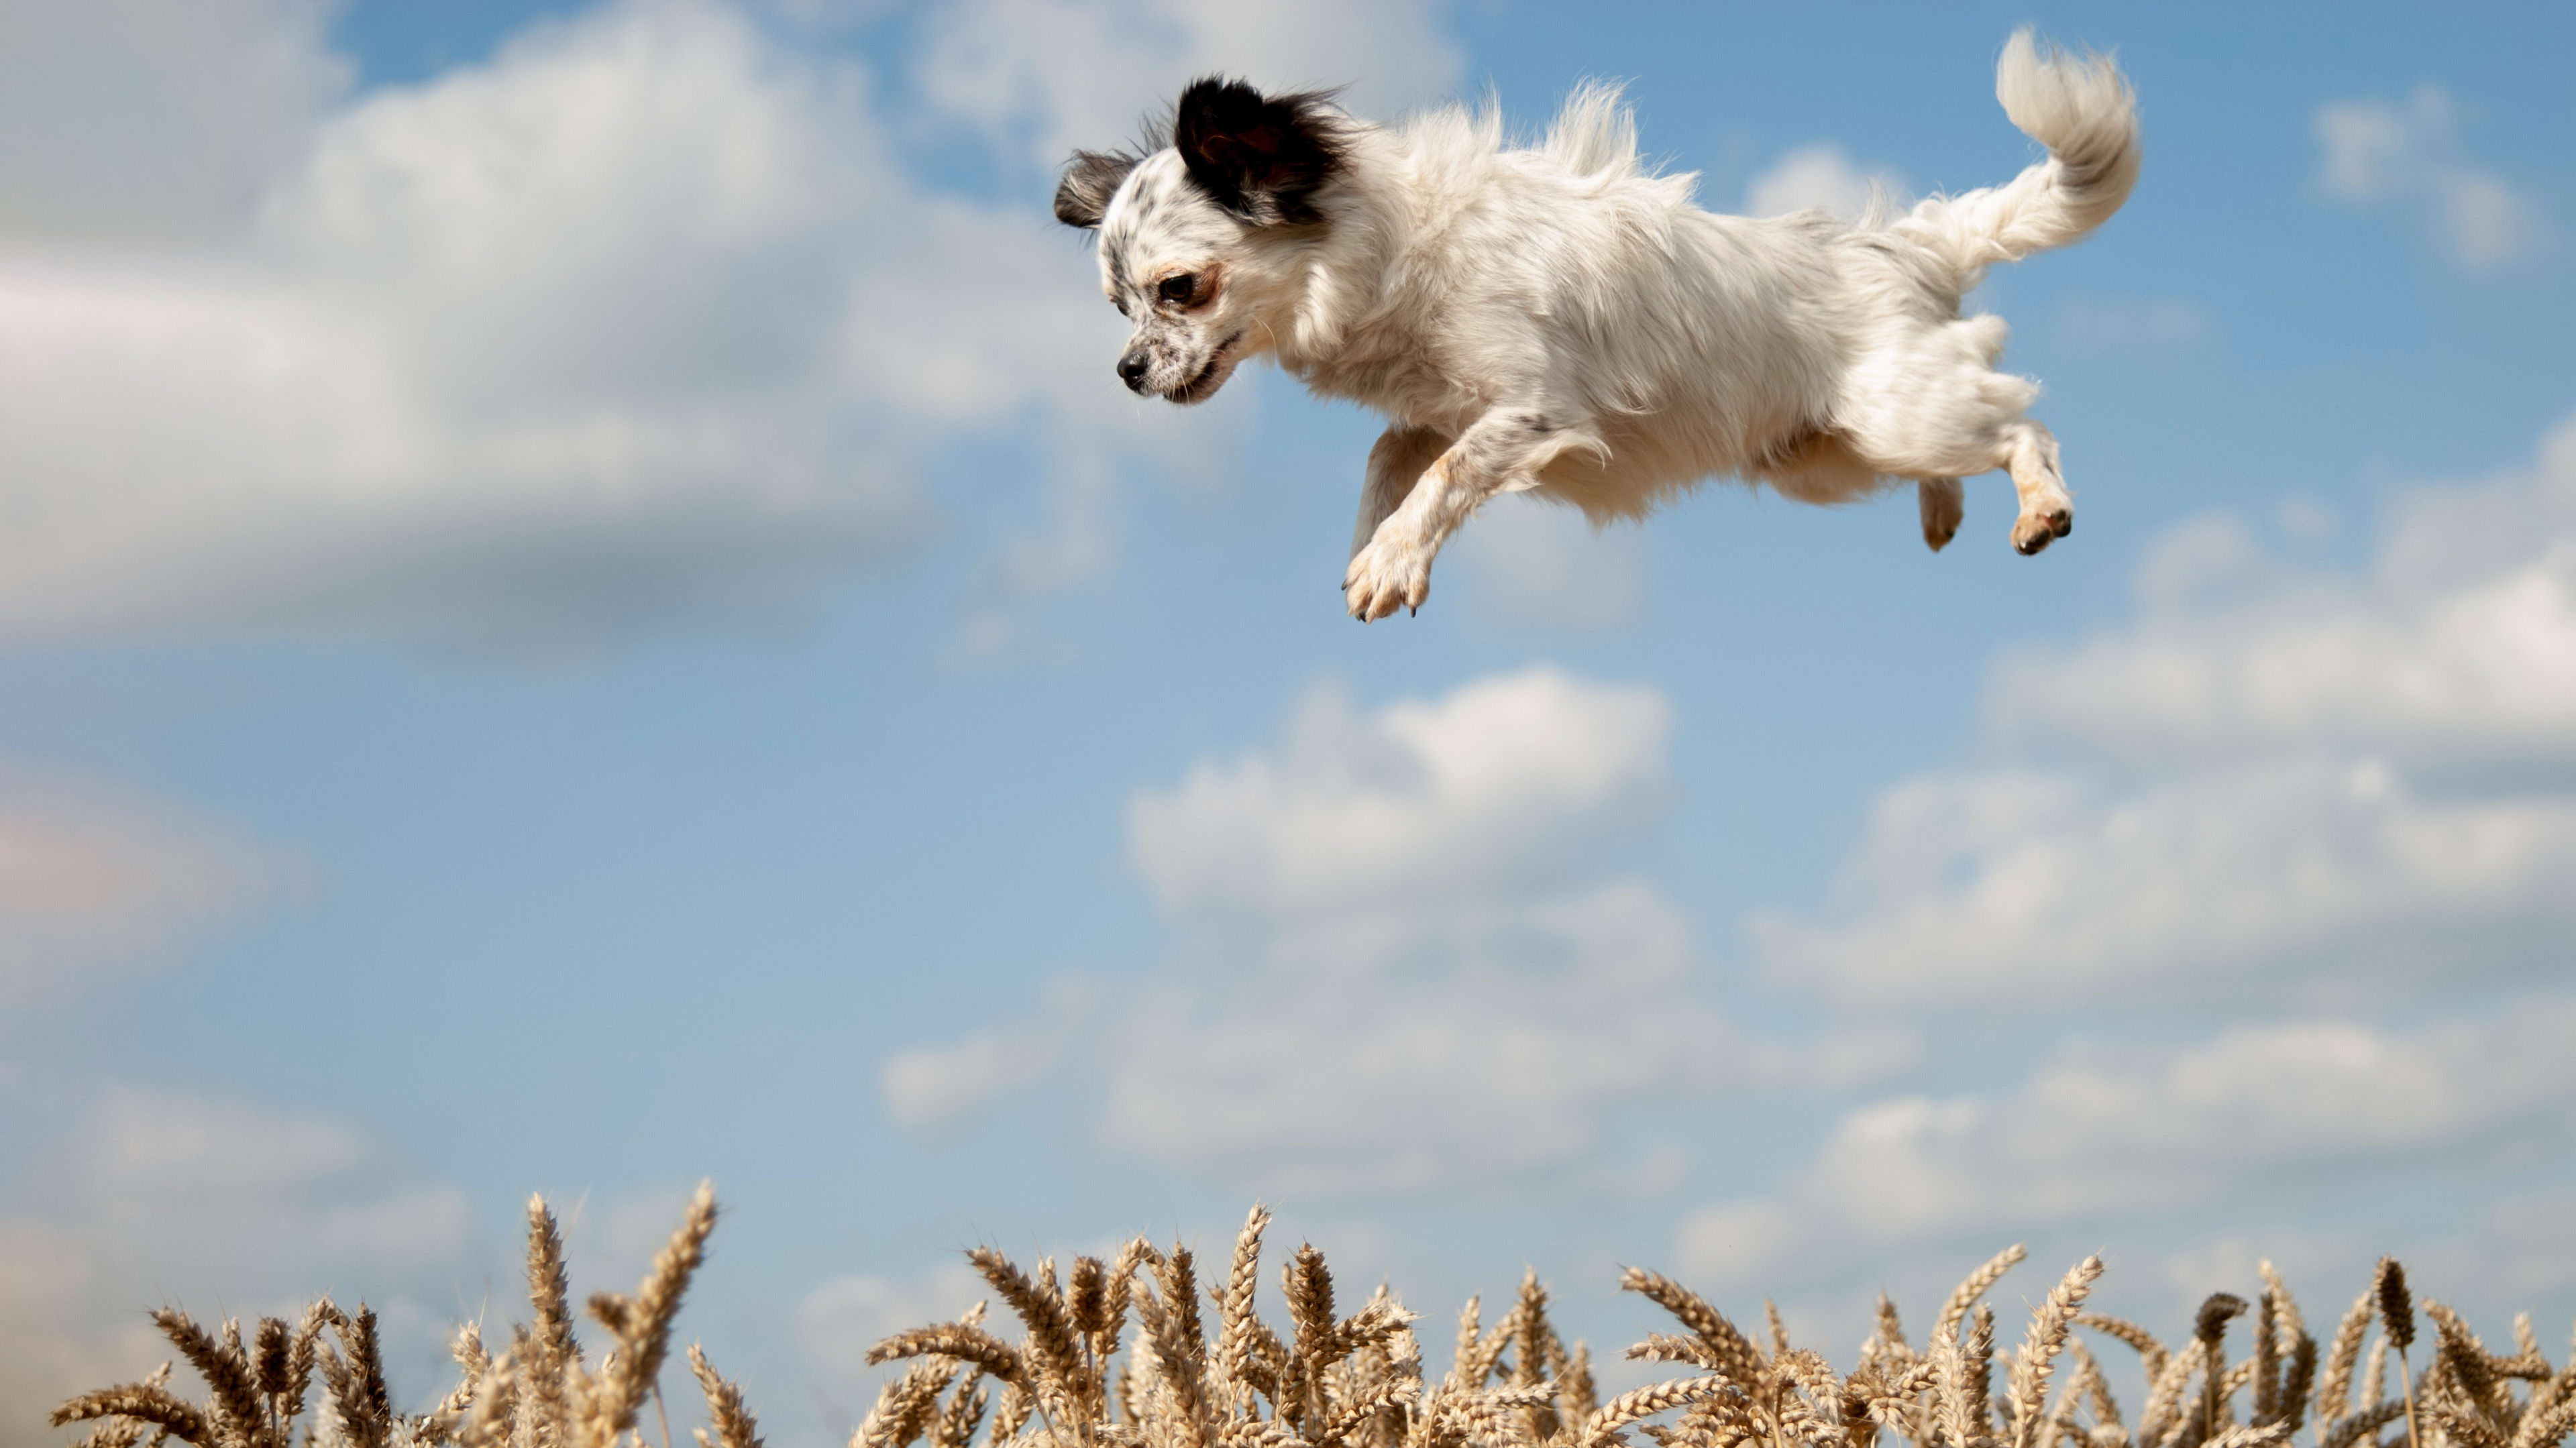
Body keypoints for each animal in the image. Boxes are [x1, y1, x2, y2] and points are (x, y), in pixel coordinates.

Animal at [1056, 34, 2143, 618]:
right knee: (1962, 441)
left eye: (1180, 289)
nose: (1126, 373)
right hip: (1828, 458)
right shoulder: (1437, 408)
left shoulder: (1533, 409)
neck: (1393, 251)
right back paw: (1943, 508)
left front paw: (1391, 562)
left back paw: (2040, 508)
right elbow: (1388, 458)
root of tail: (1911, 245)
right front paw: (1376, 545)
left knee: (2022, 423)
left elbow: (1444, 475)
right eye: (1118, 309)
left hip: (1894, 412)